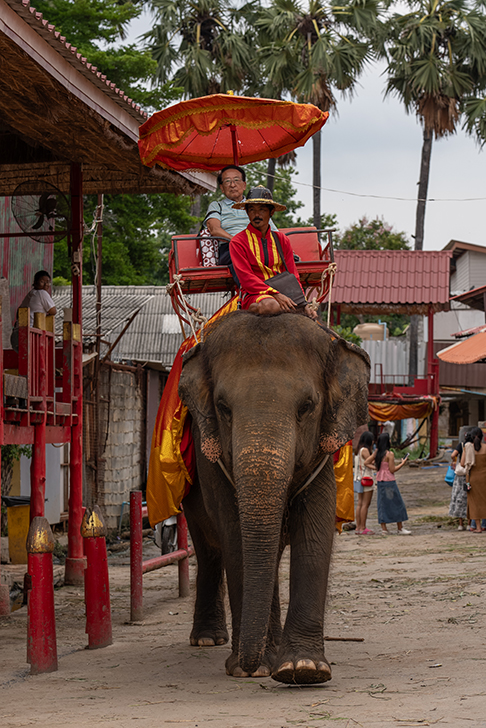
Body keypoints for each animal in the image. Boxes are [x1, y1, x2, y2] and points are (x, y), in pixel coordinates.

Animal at [178, 312, 368, 684]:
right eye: (223, 407)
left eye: (307, 406)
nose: (248, 665)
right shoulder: (214, 464)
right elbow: (236, 539)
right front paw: (250, 669)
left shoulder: (322, 456)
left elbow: (314, 536)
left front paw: (304, 669)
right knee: (209, 549)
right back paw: (209, 639)